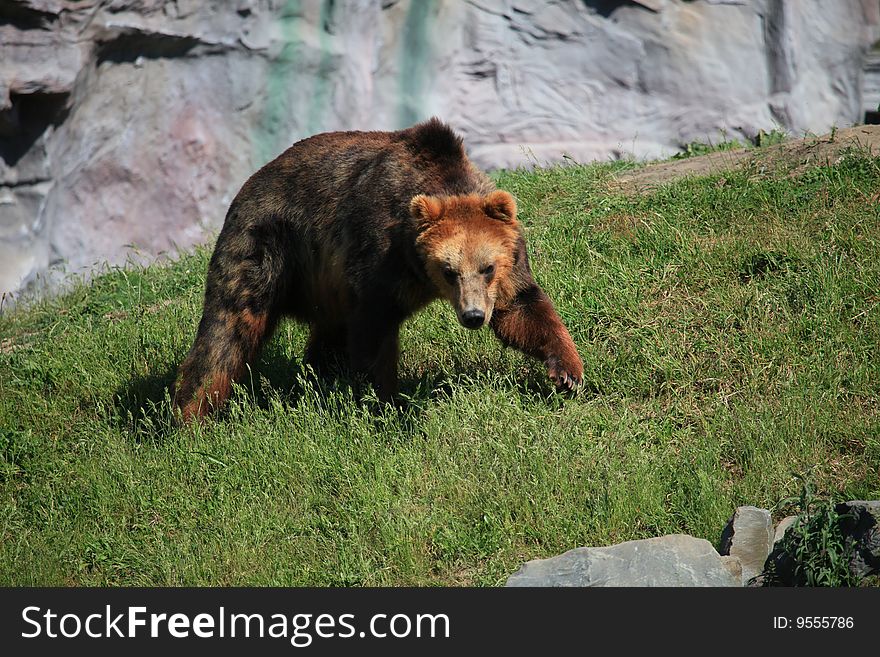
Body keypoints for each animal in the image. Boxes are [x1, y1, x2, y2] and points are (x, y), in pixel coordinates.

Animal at [174, 117, 580, 420]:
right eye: (449, 270)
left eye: (488, 267)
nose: (473, 316)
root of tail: (248, 184)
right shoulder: (379, 256)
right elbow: (374, 332)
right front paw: (387, 404)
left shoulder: (509, 266)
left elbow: (522, 308)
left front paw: (567, 372)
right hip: (265, 249)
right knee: (227, 332)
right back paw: (190, 416)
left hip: (322, 280)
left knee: (328, 335)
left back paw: (319, 380)